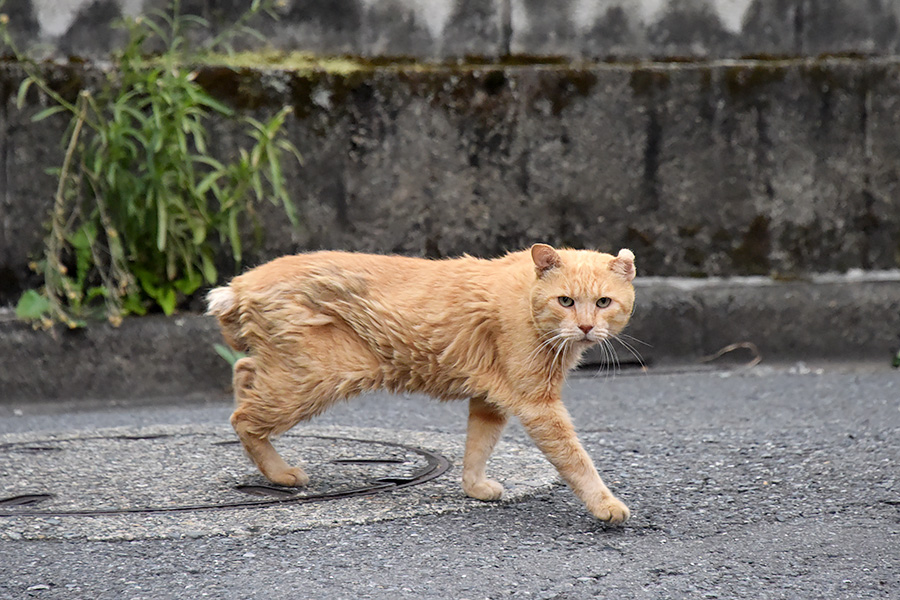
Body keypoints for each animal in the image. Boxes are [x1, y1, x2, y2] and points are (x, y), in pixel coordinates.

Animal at [207, 246, 636, 524]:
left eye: (603, 303)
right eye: (565, 301)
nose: (586, 327)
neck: (527, 298)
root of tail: (241, 283)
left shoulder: (490, 400)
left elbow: (478, 446)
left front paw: (474, 487)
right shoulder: (538, 405)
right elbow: (575, 460)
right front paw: (605, 504)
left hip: (293, 370)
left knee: (243, 370)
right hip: (313, 377)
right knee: (243, 417)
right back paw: (280, 474)